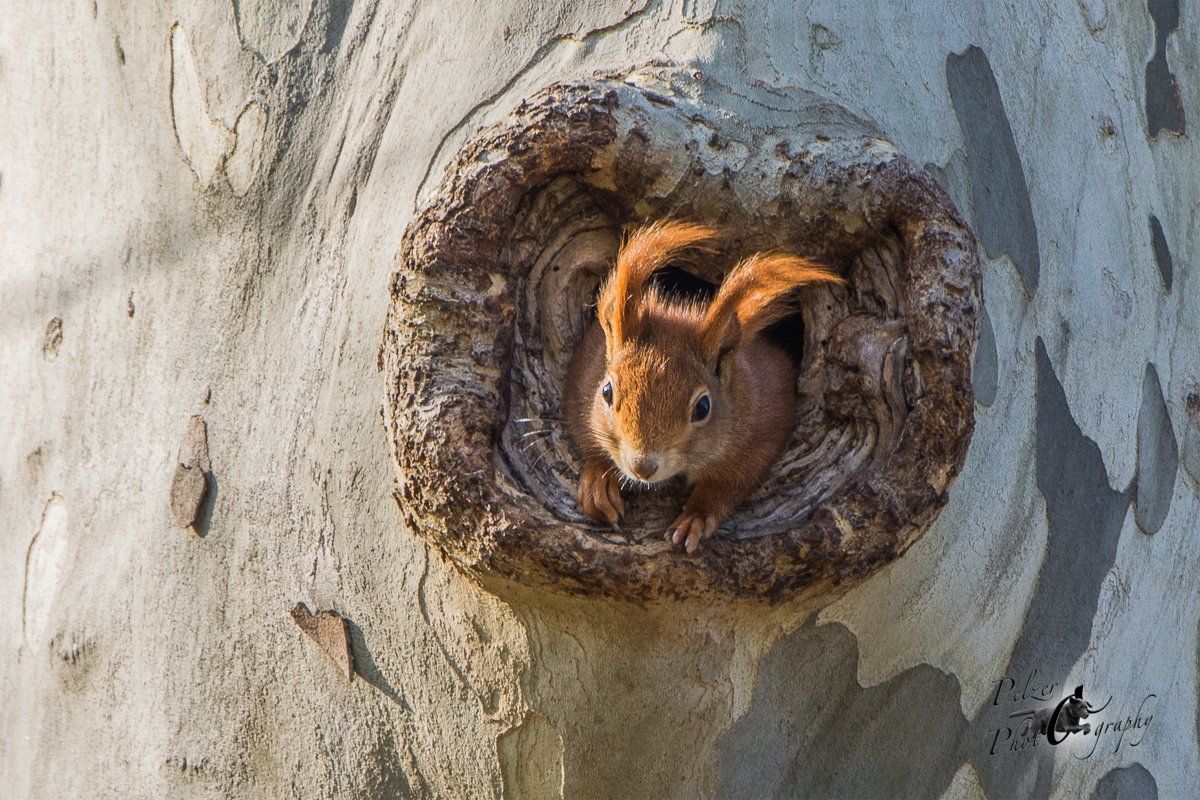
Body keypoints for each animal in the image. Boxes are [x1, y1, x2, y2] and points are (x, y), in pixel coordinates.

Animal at [563, 221, 843, 552]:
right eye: (606, 392)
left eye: (703, 407)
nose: (642, 466)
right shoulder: (582, 378)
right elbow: (586, 434)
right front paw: (598, 480)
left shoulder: (763, 427)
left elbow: (729, 483)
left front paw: (696, 517)